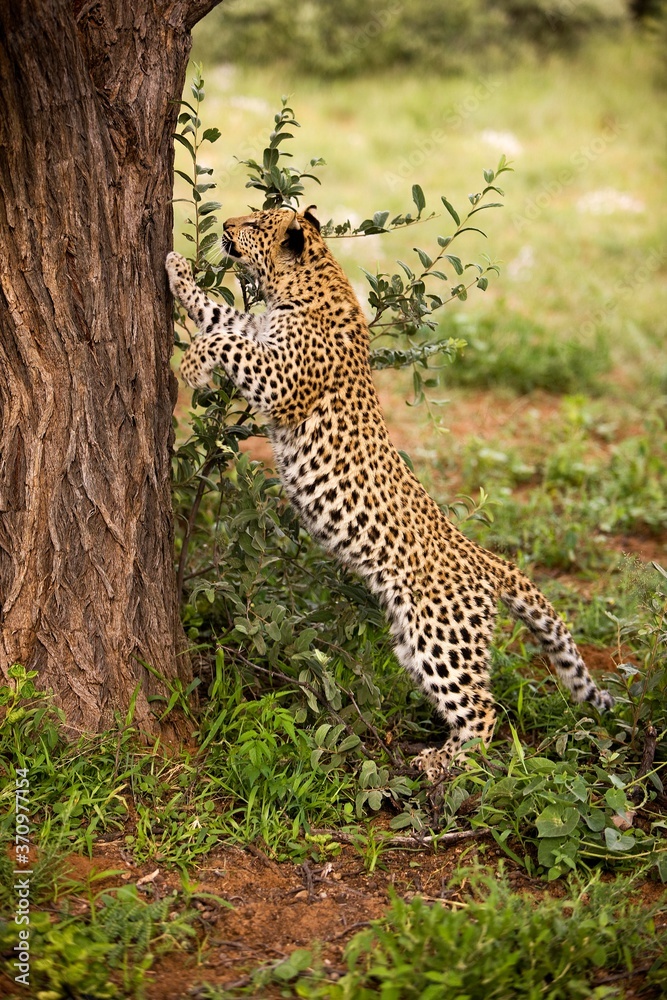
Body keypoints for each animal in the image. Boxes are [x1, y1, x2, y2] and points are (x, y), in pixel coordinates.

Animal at [166, 206, 613, 781]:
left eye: (258, 224)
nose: (225, 223)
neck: (305, 283)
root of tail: (487, 560)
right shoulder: (253, 328)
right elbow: (218, 313)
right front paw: (178, 268)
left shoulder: (280, 379)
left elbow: (224, 341)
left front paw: (193, 367)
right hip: (412, 643)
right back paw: (440, 756)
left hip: (442, 638)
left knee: (485, 710)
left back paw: (444, 766)